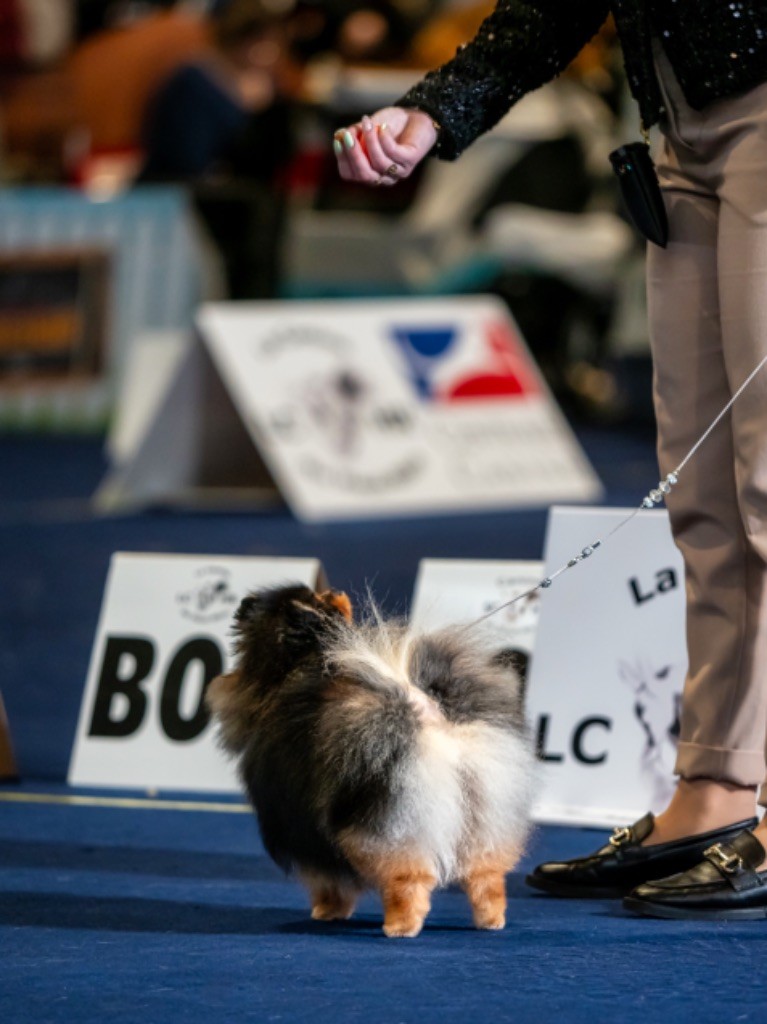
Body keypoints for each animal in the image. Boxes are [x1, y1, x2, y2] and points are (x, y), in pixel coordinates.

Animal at [206, 583, 536, 937]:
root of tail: (425, 709)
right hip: (486, 811)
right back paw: (490, 920)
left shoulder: (307, 829)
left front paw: (328, 910)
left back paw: (400, 925)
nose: (245, 604)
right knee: (486, 875)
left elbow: (328, 879)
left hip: (387, 820)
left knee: (408, 877)